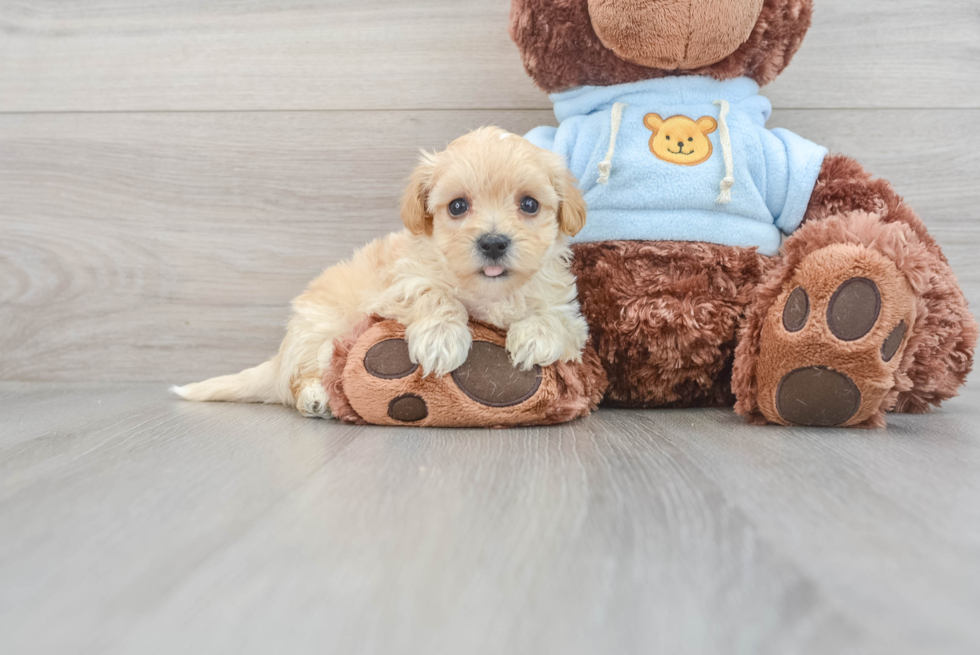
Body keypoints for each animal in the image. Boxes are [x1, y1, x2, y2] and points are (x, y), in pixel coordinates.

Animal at [173, 125, 588, 418]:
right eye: (457, 206)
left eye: (529, 204)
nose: (493, 243)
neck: (490, 293)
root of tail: (280, 356)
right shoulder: (400, 284)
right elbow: (434, 294)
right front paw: (441, 340)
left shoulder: (568, 309)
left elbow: (555, 318)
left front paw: (535, 338)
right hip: (318, 334)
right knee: (296, 382)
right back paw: (316, 397)